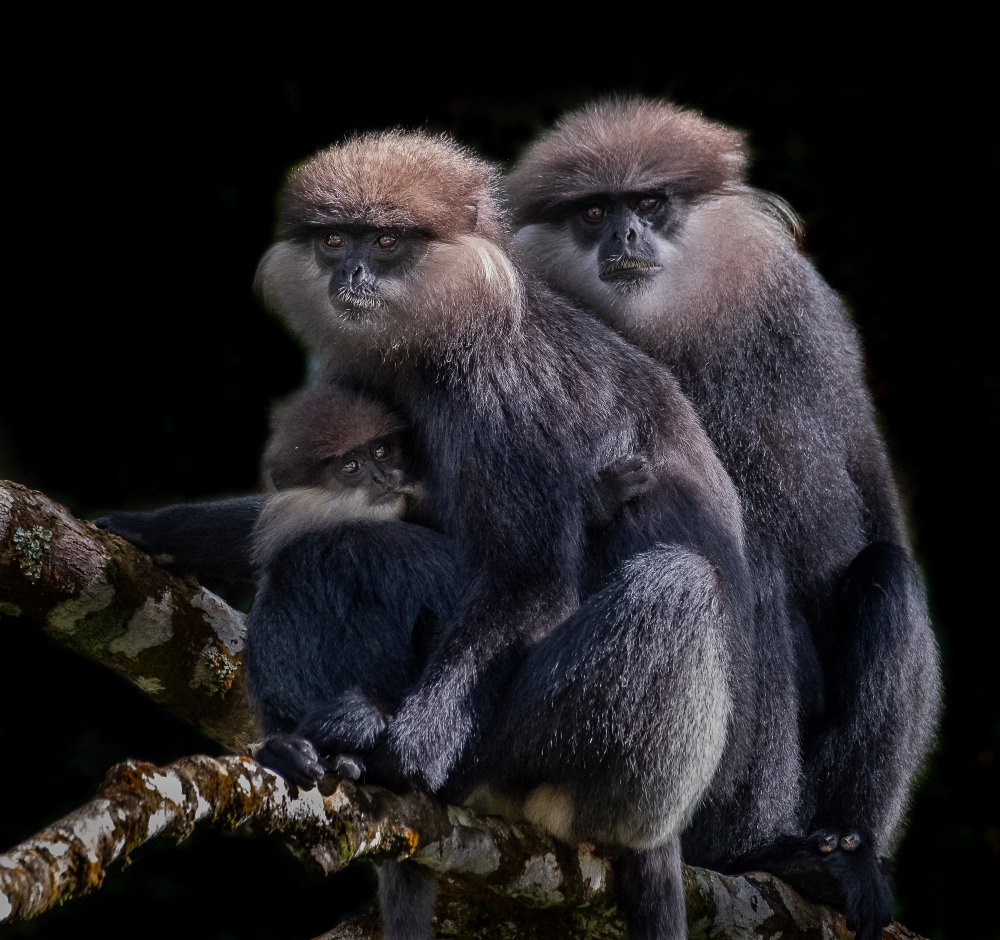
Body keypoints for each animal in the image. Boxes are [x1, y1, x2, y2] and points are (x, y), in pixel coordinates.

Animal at [508, 97, 944, 940]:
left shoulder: (804, 315)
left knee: (887, 572)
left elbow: (874, 516)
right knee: (757, 574)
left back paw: (844, 855)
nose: (624, 236)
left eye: (649, 203)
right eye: (593, 212)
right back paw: (756, 849)